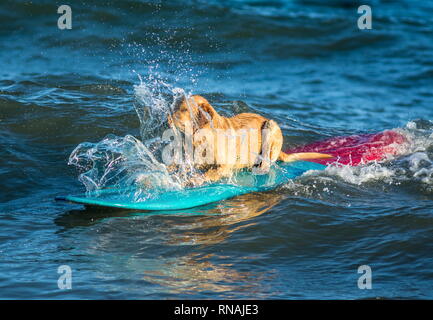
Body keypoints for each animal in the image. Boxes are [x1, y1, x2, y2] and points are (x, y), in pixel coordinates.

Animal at [167, 95, 330, 185]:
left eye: (184, 109)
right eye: (176, 107)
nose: (167, 116)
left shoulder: (225, 166)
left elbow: (208, 173)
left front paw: (193, 180)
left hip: (271, 125)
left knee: (267, 162)